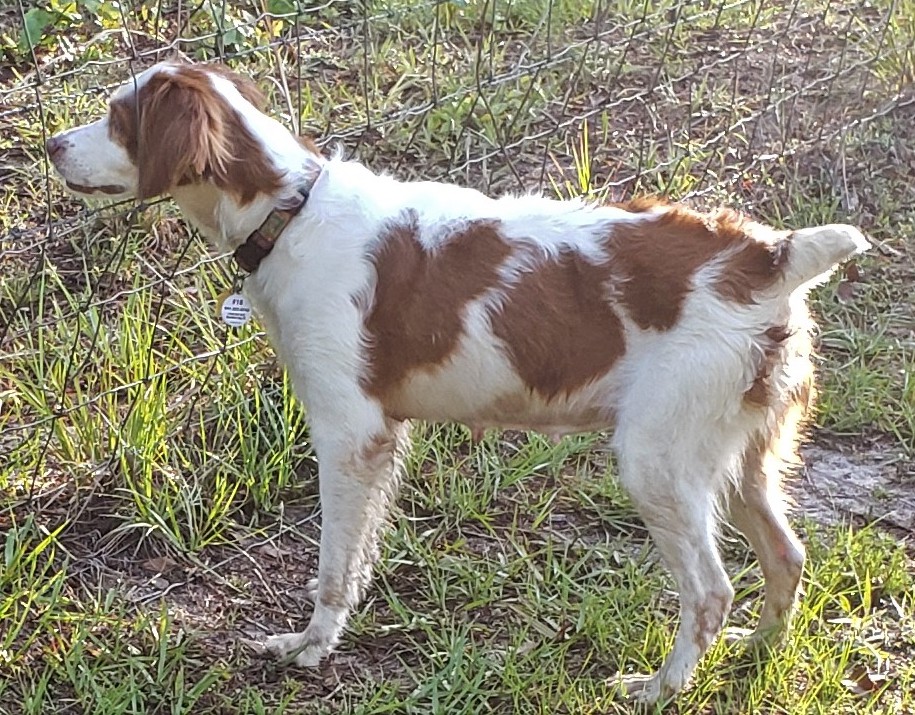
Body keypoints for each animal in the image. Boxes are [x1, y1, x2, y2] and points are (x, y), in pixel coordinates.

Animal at [46, 60, 868, 704]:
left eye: (120, 118)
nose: (50, 144)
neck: (292, 212)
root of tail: (765, 256)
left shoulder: (350, 436)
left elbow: (332, 564)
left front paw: (310, 647)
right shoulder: (383, 435)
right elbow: (357, 558)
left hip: (658, 461)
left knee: (709, 591)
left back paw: (660, 688)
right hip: (742, 458)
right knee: (786, 557)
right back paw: (756, 655)